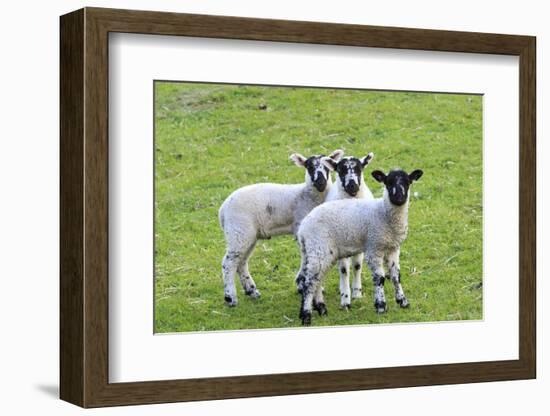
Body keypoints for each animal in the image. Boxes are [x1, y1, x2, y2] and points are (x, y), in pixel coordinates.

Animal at [220, 149, 344, 306]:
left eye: (327, 168)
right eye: (309, 166)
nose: (320, 182)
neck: (306, 196)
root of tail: (222, 210)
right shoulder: (300, 227)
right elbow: (305, 257)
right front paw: (302, 284)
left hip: (246, 235)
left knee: (241, 263)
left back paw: (252, 291)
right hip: (238, 231)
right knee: (229, 263)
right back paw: (230, 298)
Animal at [296, 167, 424, 324]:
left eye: (407, 182)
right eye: (388, 182)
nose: (399, 198)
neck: (383, 213)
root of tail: (302, 230)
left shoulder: (393, 248)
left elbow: (396, 276)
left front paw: (403, 301)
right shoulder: (374, 247)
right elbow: (380, 278)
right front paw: (381, 306)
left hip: (320, 252)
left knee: (316, 280)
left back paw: (321, 309)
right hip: (319, 248)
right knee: (309, 283)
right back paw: (306, 315)